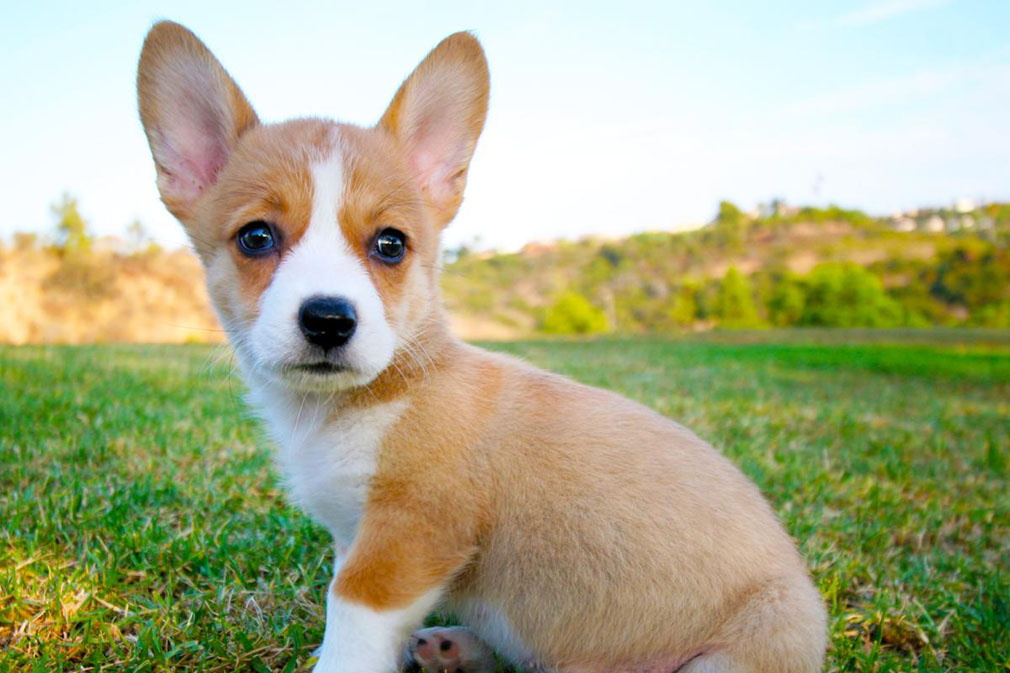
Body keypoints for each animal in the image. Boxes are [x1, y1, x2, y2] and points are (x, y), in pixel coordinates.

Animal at [136, 20, 828, 670]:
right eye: (256, 237)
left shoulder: (405, 539)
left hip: (761, 631)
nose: (329, 320)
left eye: (390, 244)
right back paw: (453, 648)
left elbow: (349, 628)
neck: (368, 399)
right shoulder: (359, 537)